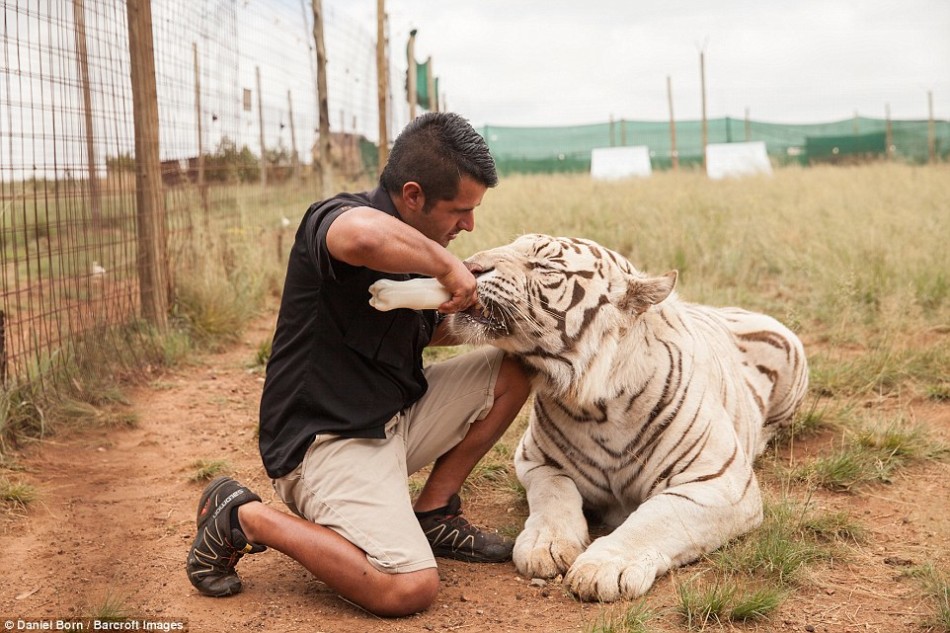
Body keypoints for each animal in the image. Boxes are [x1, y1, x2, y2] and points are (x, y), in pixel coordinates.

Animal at [446, 233, 812, 604]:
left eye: (544, 265)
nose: (467, 266)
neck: (595, 407)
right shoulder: (537, 460)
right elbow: (554, 496)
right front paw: (544, 545)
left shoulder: (720, 482)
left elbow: (657, 517)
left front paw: (603, 567)